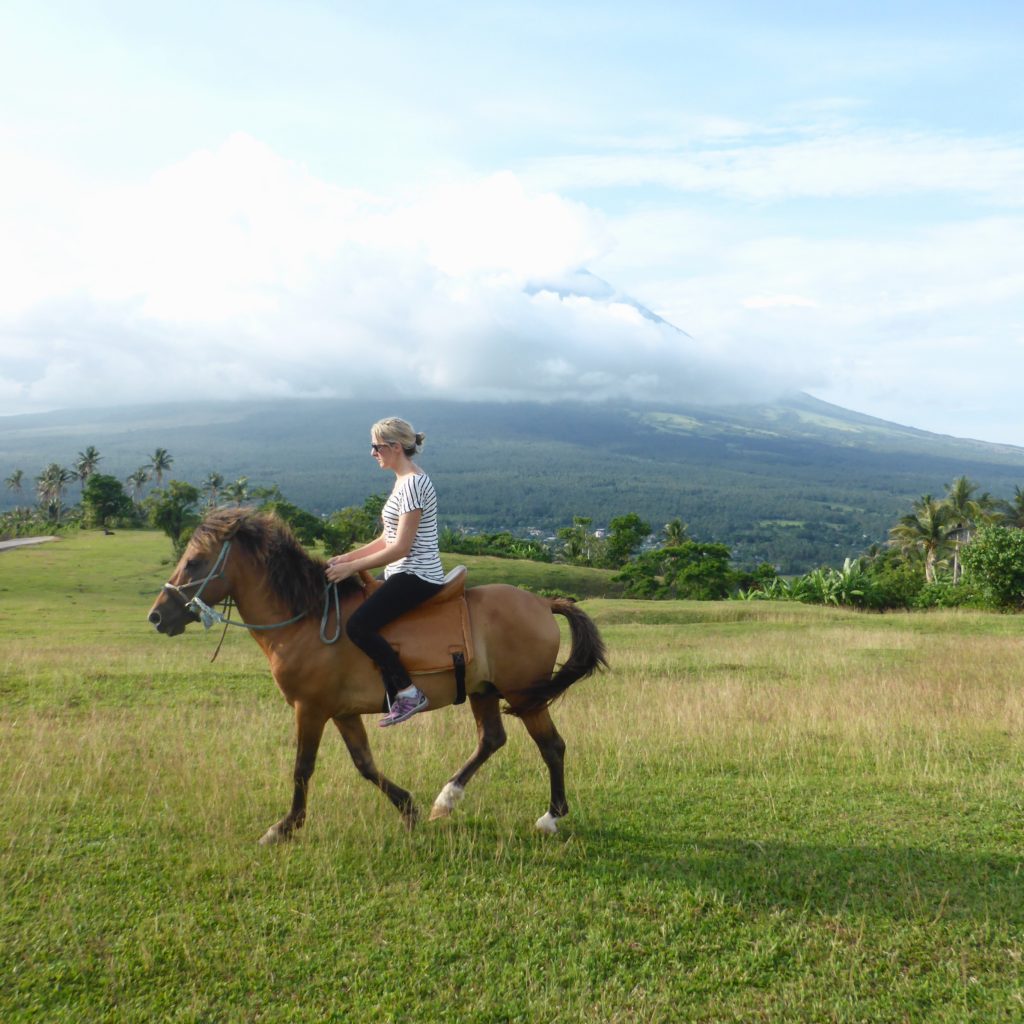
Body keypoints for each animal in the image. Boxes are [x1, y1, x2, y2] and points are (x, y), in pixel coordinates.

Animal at [146, 507, 606, 843]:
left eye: (195, 562)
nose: (156, 616)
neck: (306, 619)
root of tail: (543, 603)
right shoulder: (342, 712)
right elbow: (365, 764)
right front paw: (408, 809)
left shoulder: (310, 709)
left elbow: (302, 768)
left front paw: (284, 827)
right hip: (484, 689)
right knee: (492, 739)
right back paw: (445, 800)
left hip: (524, 695)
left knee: (552, 746)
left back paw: (551, 817)